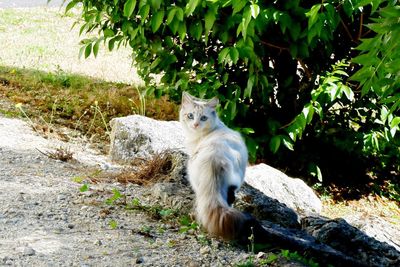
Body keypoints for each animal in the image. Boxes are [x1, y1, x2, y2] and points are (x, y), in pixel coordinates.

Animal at [180, 92, 252, 241]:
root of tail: (215, 159)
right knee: (230, 199)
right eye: (190, 116)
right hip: (235, 183)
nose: (195, 124)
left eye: (203, 118)